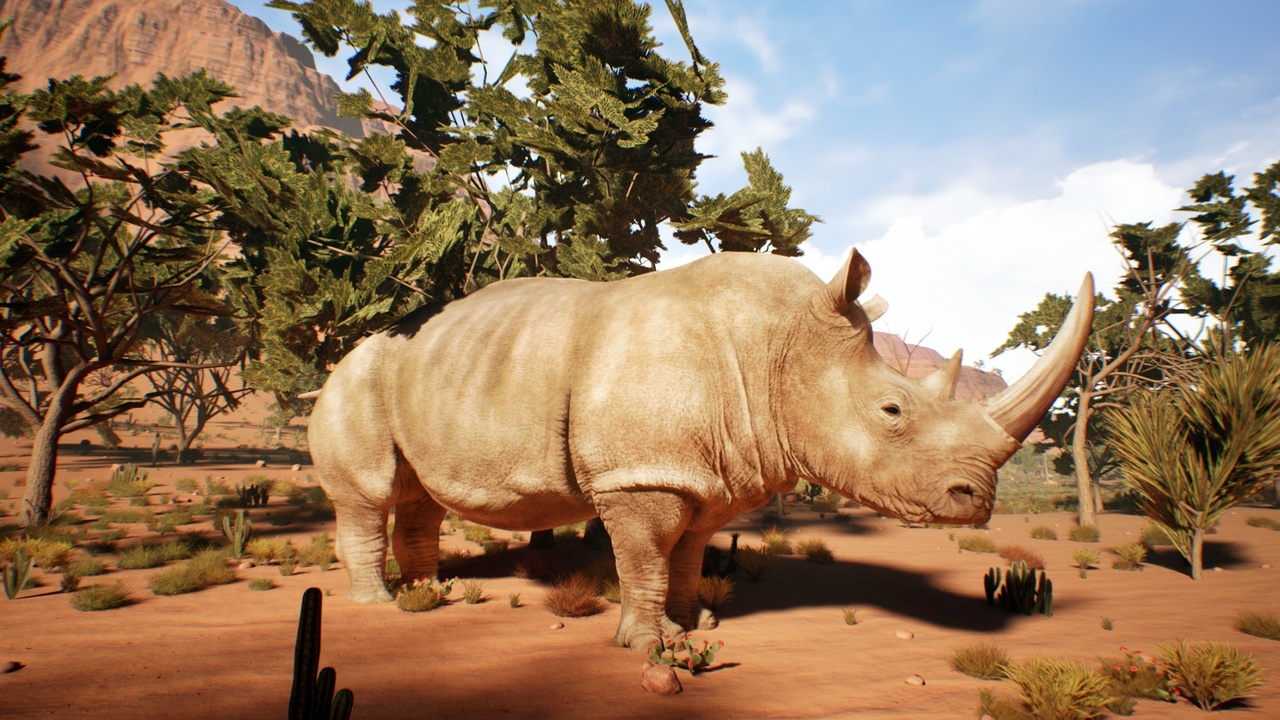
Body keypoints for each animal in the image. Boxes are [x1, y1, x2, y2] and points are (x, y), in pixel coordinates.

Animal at [306, 248, 1093, 650]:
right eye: (891, 411)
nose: (977, 501)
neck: (780, 345)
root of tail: (343, 355)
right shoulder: (639, 476)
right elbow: (646, 560)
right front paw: (652, 647)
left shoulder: (710, 475)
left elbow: (686, 556)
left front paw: (697, 623)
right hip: (353, 380)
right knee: (369, 491)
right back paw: (381, 605)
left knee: (417, 496)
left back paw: (429, 594)